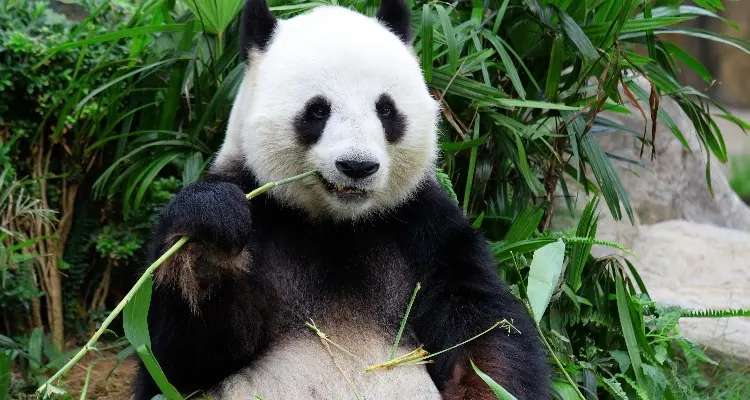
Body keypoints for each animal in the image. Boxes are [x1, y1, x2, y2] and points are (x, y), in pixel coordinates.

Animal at [133, 0, 550, 399]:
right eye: (318, 110)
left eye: (385, 108)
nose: (357, 166)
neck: (338, 225)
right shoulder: (259, 209)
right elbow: (180, 358)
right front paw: (210, 232)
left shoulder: (424, 225)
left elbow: (484, 329)